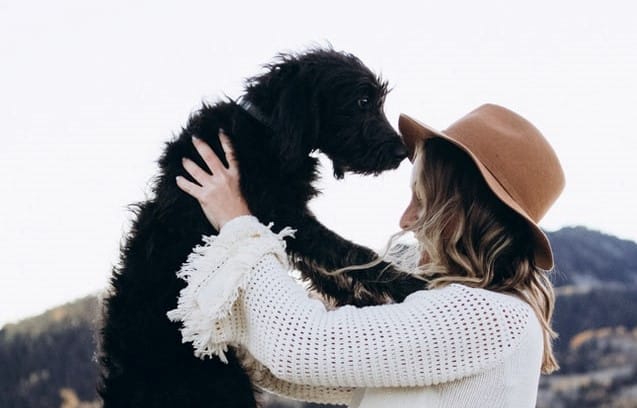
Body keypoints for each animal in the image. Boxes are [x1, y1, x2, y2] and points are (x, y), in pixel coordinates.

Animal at [99, 48, 424, 408]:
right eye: (363, 101)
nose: (402, 152)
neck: (267, 130)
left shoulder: (288, 228)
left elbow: (331, 272)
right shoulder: (288, 217)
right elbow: (353, 255)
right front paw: (412, 284)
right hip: (225, 387)